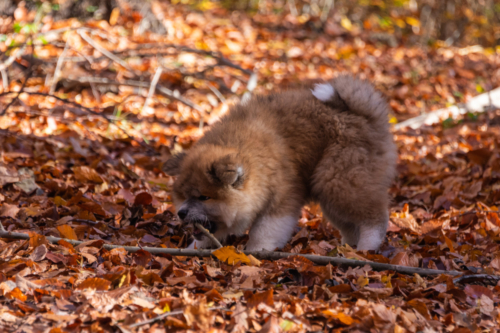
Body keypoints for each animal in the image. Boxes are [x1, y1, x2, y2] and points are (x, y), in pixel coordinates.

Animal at [166, 74, 396, 249]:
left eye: (204, 197)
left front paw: (255, 252)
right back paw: (348, 249)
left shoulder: (282, 198)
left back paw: (367, 248)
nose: (181, 213)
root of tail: (362, 115)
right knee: (350, 225)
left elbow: (264, 231)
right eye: (183, 196)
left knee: (374, 219)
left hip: (338, 182)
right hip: (331, 192)